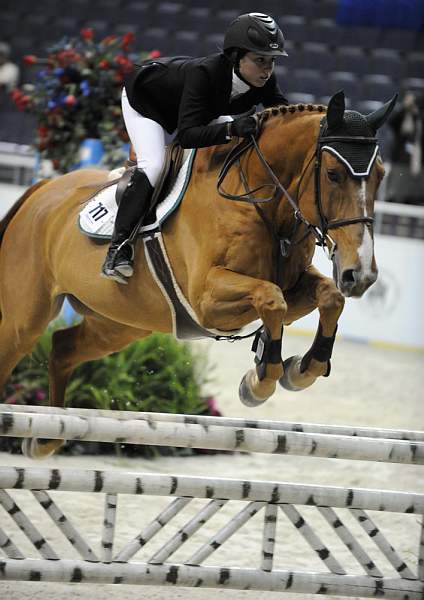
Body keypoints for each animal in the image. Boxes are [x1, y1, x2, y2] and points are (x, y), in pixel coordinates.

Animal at [0, 91, 394, 458]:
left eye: (381, 176)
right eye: (332, 174)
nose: (360, 273)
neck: (261, 203)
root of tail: (42, 189)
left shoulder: (293, 283)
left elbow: (327, 296)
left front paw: (298, 370)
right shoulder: (206, 301)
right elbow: (271, 298)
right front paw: (259, 383)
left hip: (119, 323)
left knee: (63, 347)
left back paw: (46, 439)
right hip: (26, 318)